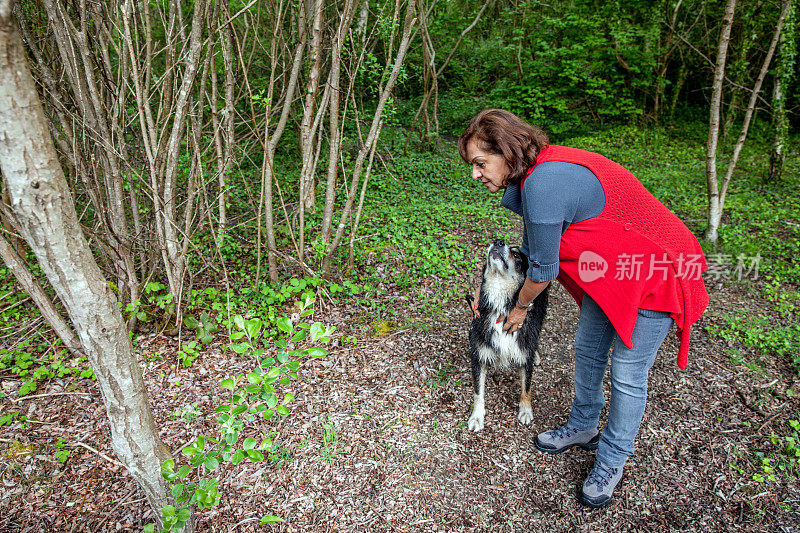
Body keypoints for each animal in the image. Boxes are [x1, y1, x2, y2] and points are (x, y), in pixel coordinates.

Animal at [466, 239, 548, 430]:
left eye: (516, 254)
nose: (498, 241)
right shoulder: (479, 354)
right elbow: (478, 391)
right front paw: (477, 416)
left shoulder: (524, 351)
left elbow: (526, 387)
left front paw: (525, 411)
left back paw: (536, 354)